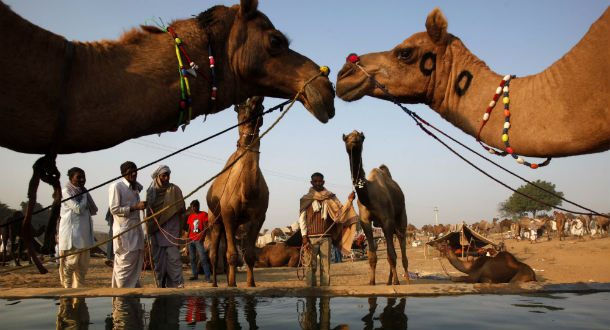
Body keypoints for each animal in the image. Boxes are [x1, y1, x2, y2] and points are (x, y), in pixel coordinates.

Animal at [205, 96, 268, 286]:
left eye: (262, 107)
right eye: (239, 109)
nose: (257, 98)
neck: (247, 192)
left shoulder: (258, 217)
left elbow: (249, 254)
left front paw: (250, 283)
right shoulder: (227, 214)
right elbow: (232, 255)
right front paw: (233, 284)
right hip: (214, 219)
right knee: (214, 254)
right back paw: (216, 283)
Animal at [342, 130, 408, 284]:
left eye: (360, 137)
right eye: (346, 138)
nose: (353, 141)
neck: (369, 197)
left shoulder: (387, 220)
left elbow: (391, 255)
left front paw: (397, 282)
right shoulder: (365, 221)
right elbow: (372, 256)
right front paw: (372, 282)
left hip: (401, 218)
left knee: (402, 252)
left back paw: (406, 281)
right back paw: (389, 281)